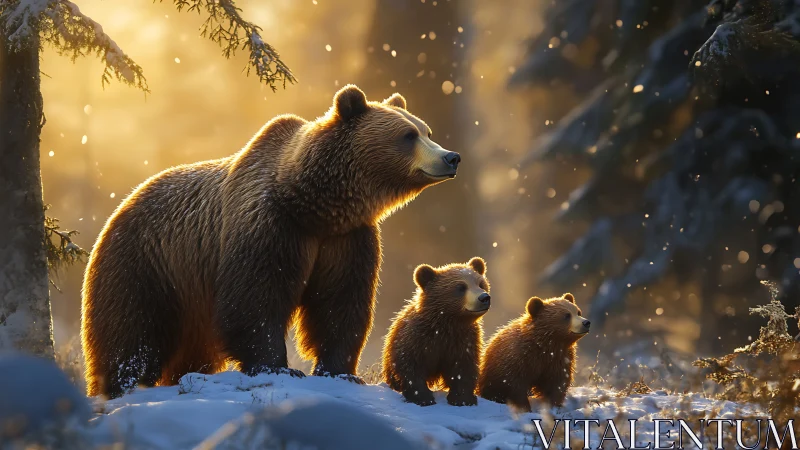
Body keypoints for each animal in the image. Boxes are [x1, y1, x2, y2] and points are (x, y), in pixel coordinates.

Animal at [81, 84, 462, 399]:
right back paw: (120, 384)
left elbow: (340, 304)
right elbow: (257, 298)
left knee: (193, 348)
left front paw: (339, 372)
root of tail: (124, 203)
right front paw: (279, 366)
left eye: (426, 130)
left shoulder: (345, 239)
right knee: (129, 330)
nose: (451, 157)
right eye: (408, 135)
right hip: (147, 262)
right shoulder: (270, 226)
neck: (314, 205)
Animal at [382, 257, 491, 406]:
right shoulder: (417, 338)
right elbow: (410, 366)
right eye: (461, 287)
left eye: (481, 284)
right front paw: (423, 397)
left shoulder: (463, 340)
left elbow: (463, 368)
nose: (484, 297)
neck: (448, 323)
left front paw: (463, 398)